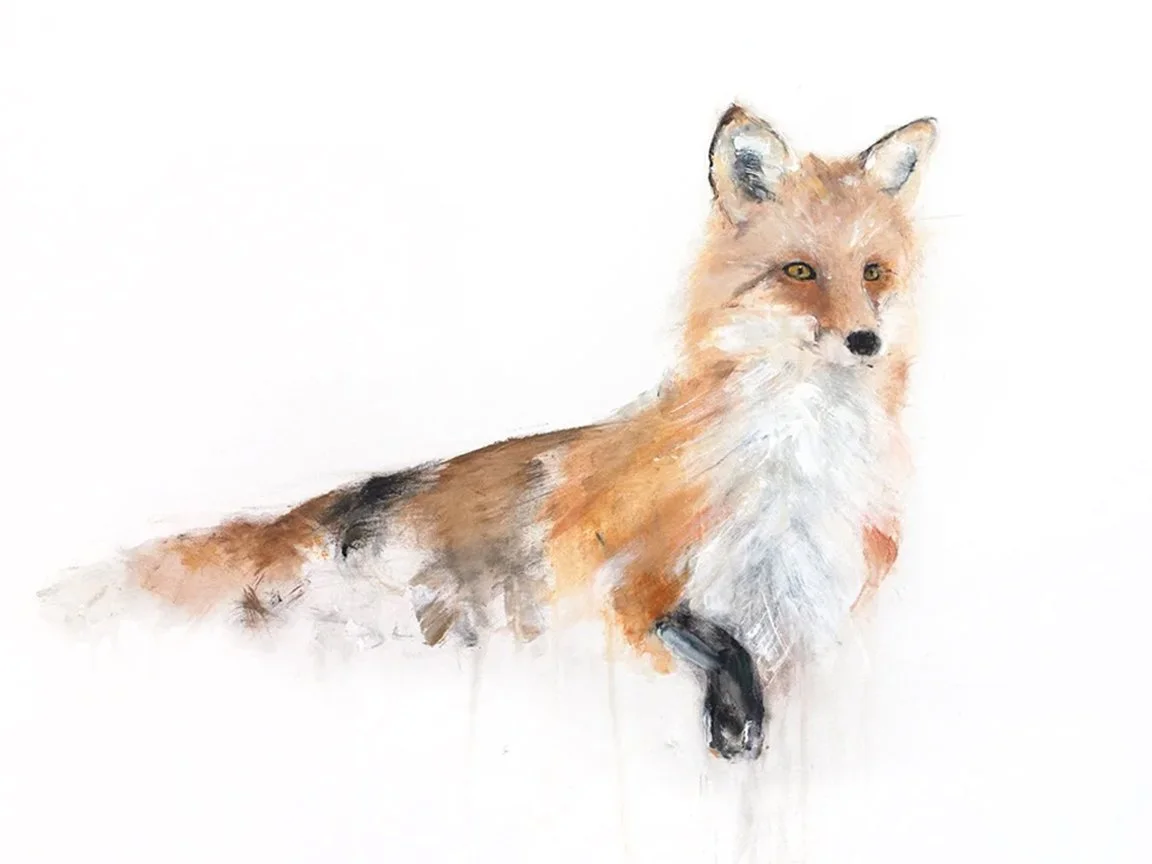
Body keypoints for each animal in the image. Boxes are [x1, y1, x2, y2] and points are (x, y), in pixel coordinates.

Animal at [40, 105, 937, 760]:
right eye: (799, 272)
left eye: (873, 274)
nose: (866, 342)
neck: (793, 472)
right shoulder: (625, 587)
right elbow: (709, 637)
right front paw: (734, 722)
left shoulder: (814, 625)